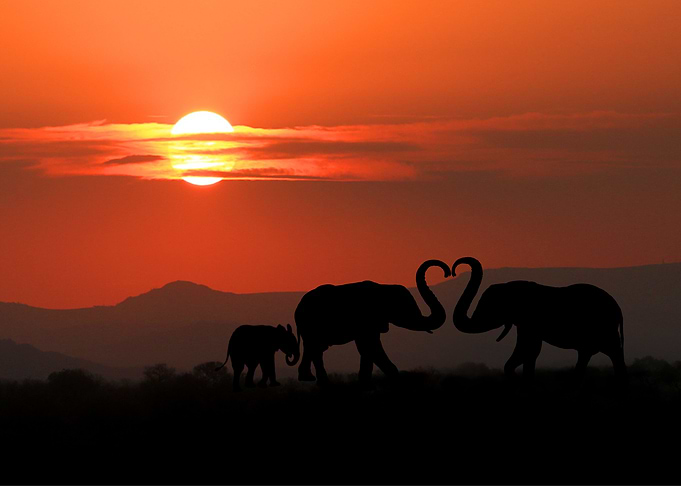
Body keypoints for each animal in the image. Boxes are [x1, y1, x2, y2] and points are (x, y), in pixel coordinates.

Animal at [294, 259, 451, 386]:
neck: (384, 287)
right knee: (315, 348)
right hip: (309, 324)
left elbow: (367, 349)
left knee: (316, 348)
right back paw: (317, 382)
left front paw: (365, 383)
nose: (447, 272)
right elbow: (370, 347)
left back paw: (309, 379)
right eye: (404, 307)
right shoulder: (367, 319)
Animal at [451, 256, 627, 385]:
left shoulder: (529, 320)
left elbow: (528, 349)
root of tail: (618, 309)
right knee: (587, 354)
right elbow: (530, 351)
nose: (453, 270)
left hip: (604, 328)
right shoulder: (524, 322)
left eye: (489, 307)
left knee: (612, 353)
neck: (510, 287)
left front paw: (523, 381)